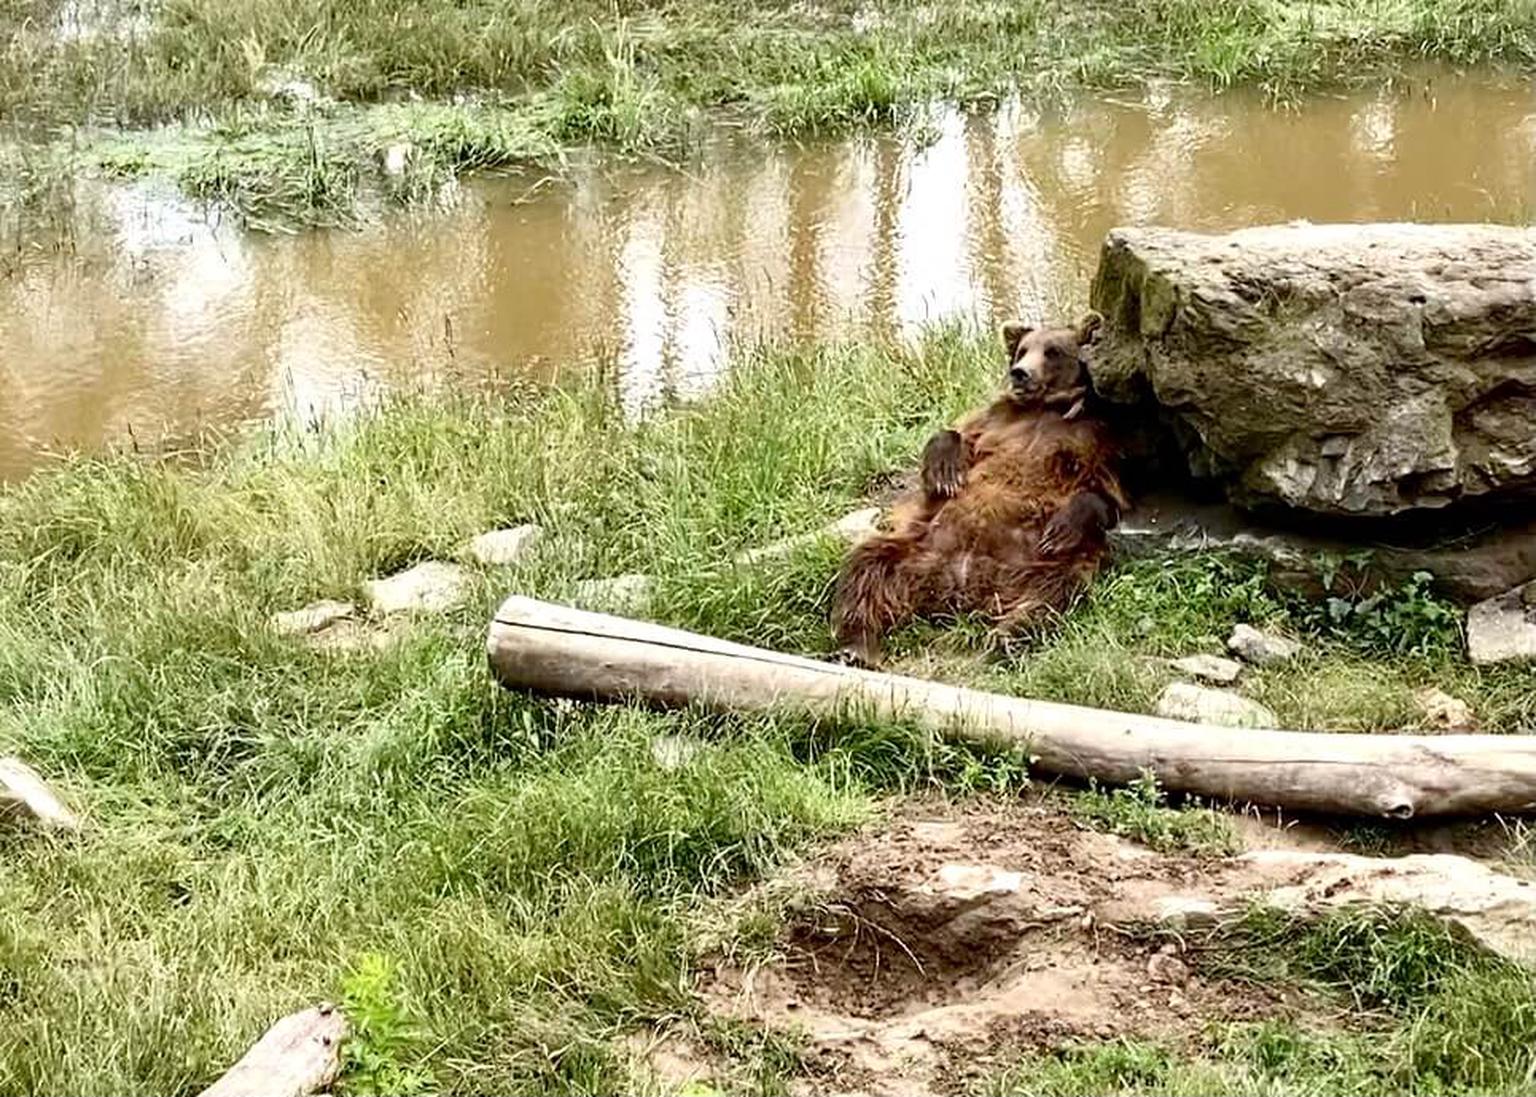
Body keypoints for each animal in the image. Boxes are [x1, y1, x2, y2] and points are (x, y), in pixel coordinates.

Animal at [835, 310, 1124, 666]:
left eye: (1053, 351)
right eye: (1023, 349)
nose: (1020, 373)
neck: (1046, 408)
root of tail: (962, 588)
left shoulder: (1099, 437)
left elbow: (1107, 492)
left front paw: (1063, 526)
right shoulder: (995, 422)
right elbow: (958, 434)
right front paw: (945, 472)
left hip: (1046, 566)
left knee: (1053, 595)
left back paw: (1005, 637)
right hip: (916, 548)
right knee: (865, 568)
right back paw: (855, 644)